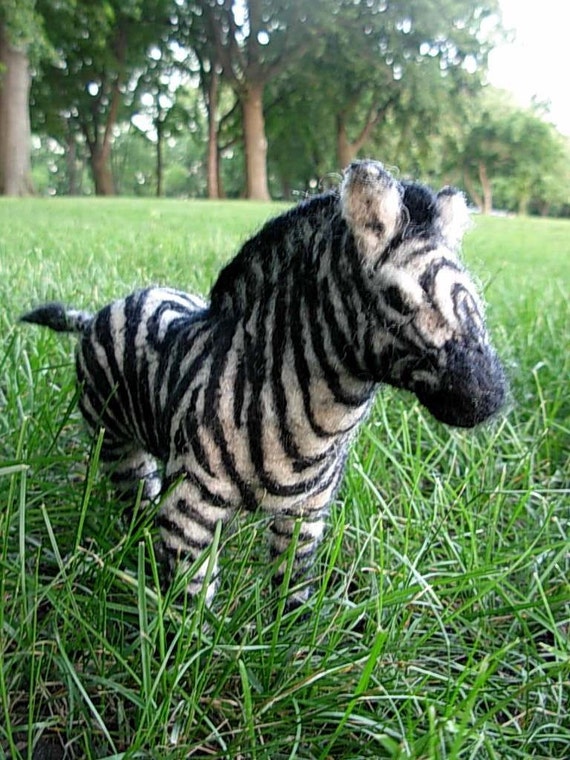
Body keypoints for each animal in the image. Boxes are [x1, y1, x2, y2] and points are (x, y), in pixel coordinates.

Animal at [21, 160, 507, 609]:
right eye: (397, 298)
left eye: (475, 295)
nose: (492, 398)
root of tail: (100, 311)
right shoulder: (189, 512)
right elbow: (191, 614)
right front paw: (192, 642)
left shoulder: (307, 513)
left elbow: (292, 590)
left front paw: (294, 638)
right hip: (115, 443)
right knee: (136, 500)